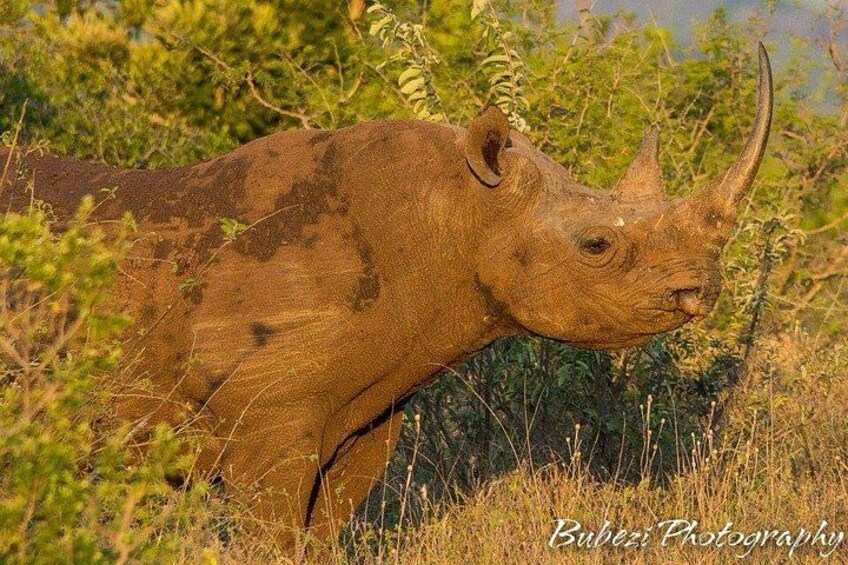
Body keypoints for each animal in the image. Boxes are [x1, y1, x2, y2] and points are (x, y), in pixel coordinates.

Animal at [0, 45, 772, 544]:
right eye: (598, 247)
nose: (703, 287)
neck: (458, 212)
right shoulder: (268, 413)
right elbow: (270, 537)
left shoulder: (368, 408)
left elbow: (319, 535)